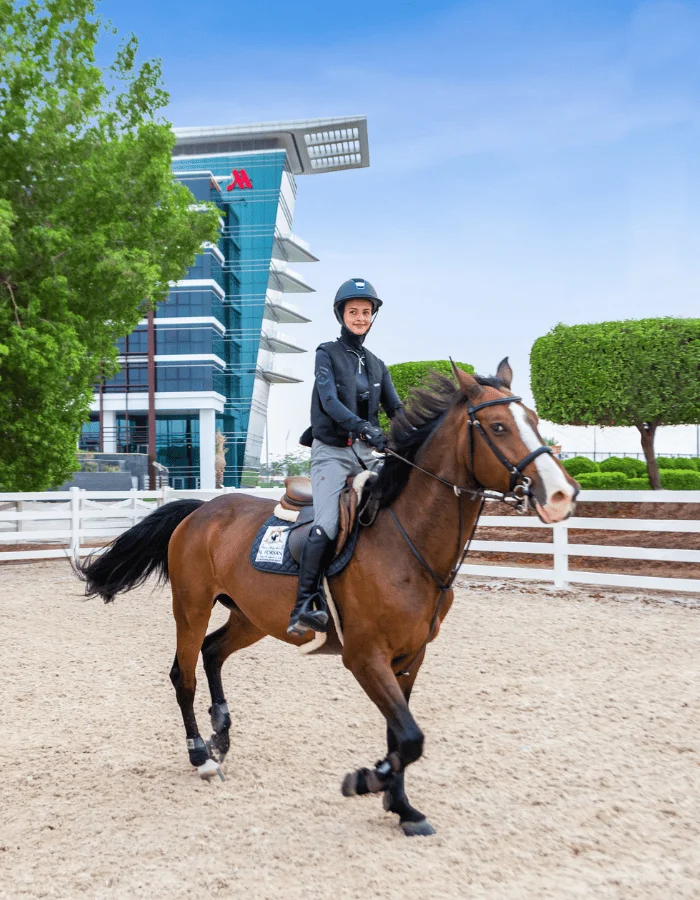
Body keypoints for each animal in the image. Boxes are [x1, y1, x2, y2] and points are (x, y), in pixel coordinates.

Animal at [78, 360, 578, 836]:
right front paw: (367, 780)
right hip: (191, 607)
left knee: (213, 651)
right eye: (497, 426)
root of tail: (201, 510)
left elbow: (401, 735)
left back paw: (221, 733)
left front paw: (402, 806)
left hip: (252, 618)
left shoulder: (410, 657)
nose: (561, 494)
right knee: (183, 675)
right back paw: (202, 755)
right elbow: (410, 737)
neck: (404, 540)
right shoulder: (365, 657)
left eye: (534, 420)